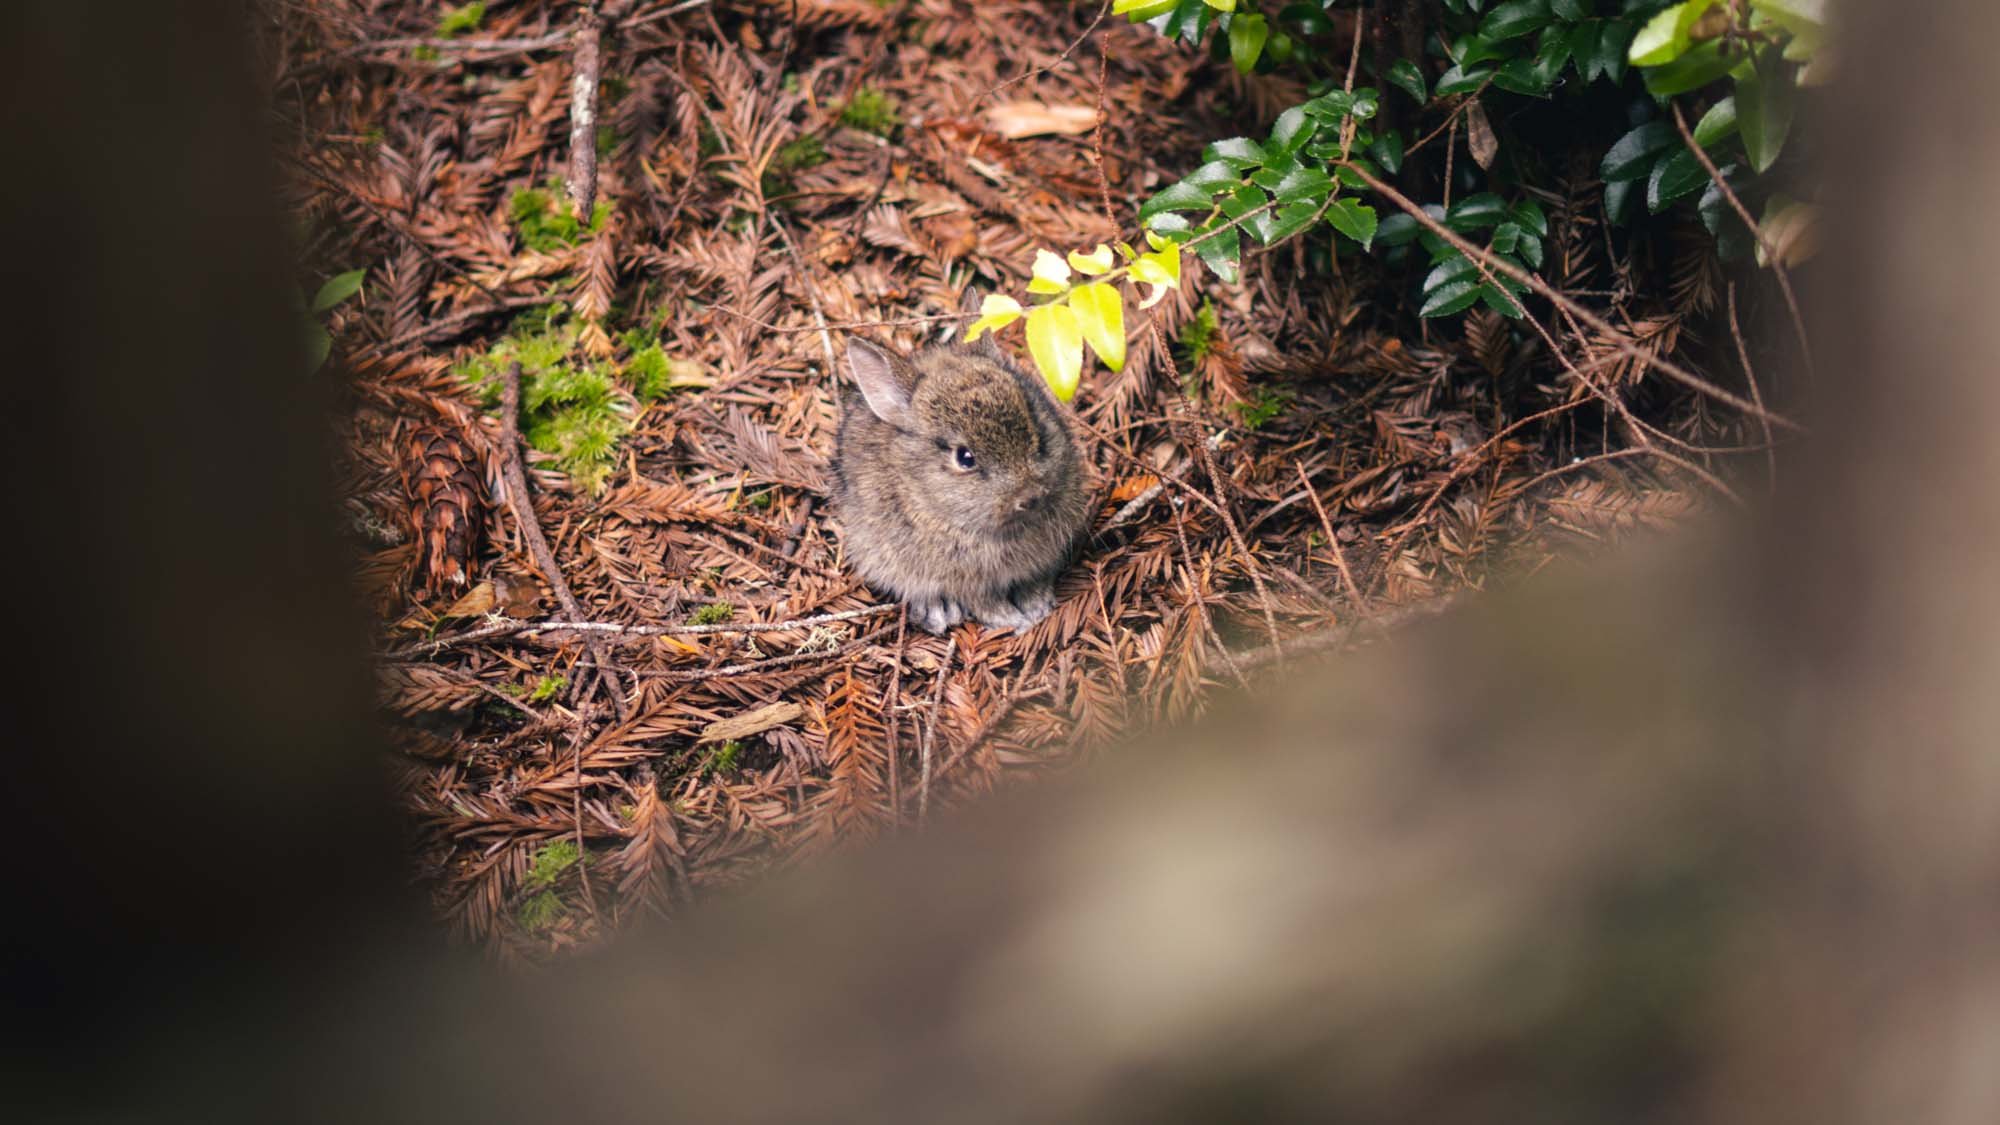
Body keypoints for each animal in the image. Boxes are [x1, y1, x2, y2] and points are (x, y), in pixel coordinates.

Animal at [836, 302, 1096, 632]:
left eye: (1035, 426)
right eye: (965, 457)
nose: (1030, 497)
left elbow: (1035, 581)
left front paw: (1037, 607)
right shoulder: (965, 581)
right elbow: (984, 604)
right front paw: (1014, 621)